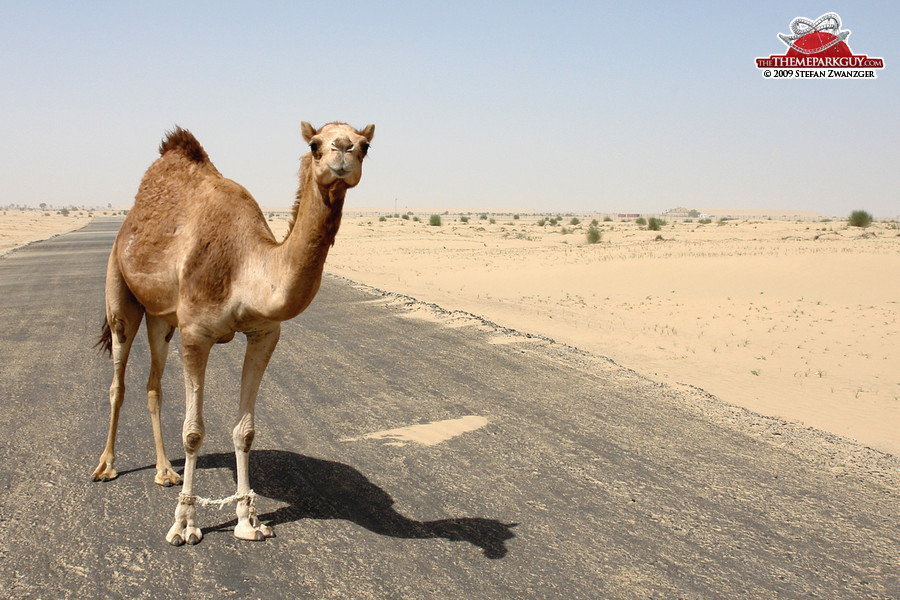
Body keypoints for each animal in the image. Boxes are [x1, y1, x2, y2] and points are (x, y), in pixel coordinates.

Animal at [91, 120, 372, 544]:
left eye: (366, 146)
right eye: (315, 144)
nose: (343, 149)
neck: (246, 268)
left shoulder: (265, 334)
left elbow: (246, 431)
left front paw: (247, 521)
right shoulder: (196, 334)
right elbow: (193, 432)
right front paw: (184, 524)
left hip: (162, 319)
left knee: (153, 385)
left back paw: (165, 472)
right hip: (120, 293)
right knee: (117, 382)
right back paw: (106, 466)